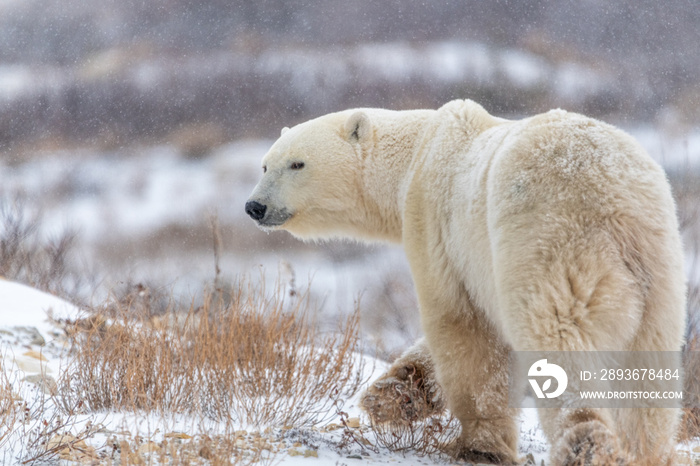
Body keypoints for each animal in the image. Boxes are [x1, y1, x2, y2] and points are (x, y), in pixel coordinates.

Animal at [245, 100, 684, 464]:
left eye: (297, 164)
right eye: (265, 165)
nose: (255, 206)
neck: (415, 156)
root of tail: (615, 199)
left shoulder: (439, 228)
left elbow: (462, 326)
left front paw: (478, 445)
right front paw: (389, 395)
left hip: (552, 241)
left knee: (559, 341)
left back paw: (586, 444)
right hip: (658, 268)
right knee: (649, 375)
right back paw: (646, 452)